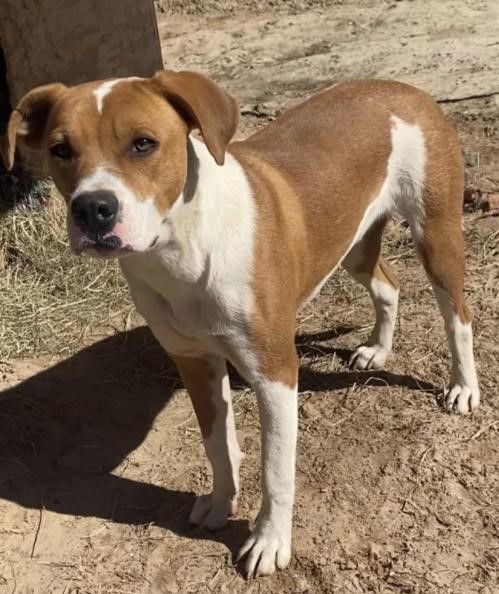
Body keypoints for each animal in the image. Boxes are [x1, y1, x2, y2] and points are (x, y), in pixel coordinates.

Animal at [1, 71, 482, 576]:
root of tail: (403, 88)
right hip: (350, 240)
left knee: (459, 317)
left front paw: (269, 542)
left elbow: (275, 469)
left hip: (437, 235)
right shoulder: (194, 362)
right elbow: (217, 443)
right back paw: (377, 349)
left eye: (143, 143)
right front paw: (220, 503)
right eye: (61, 149)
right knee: (387, 285)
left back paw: (463, 387)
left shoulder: (275, 373)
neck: (182, 251)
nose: (93, 208)